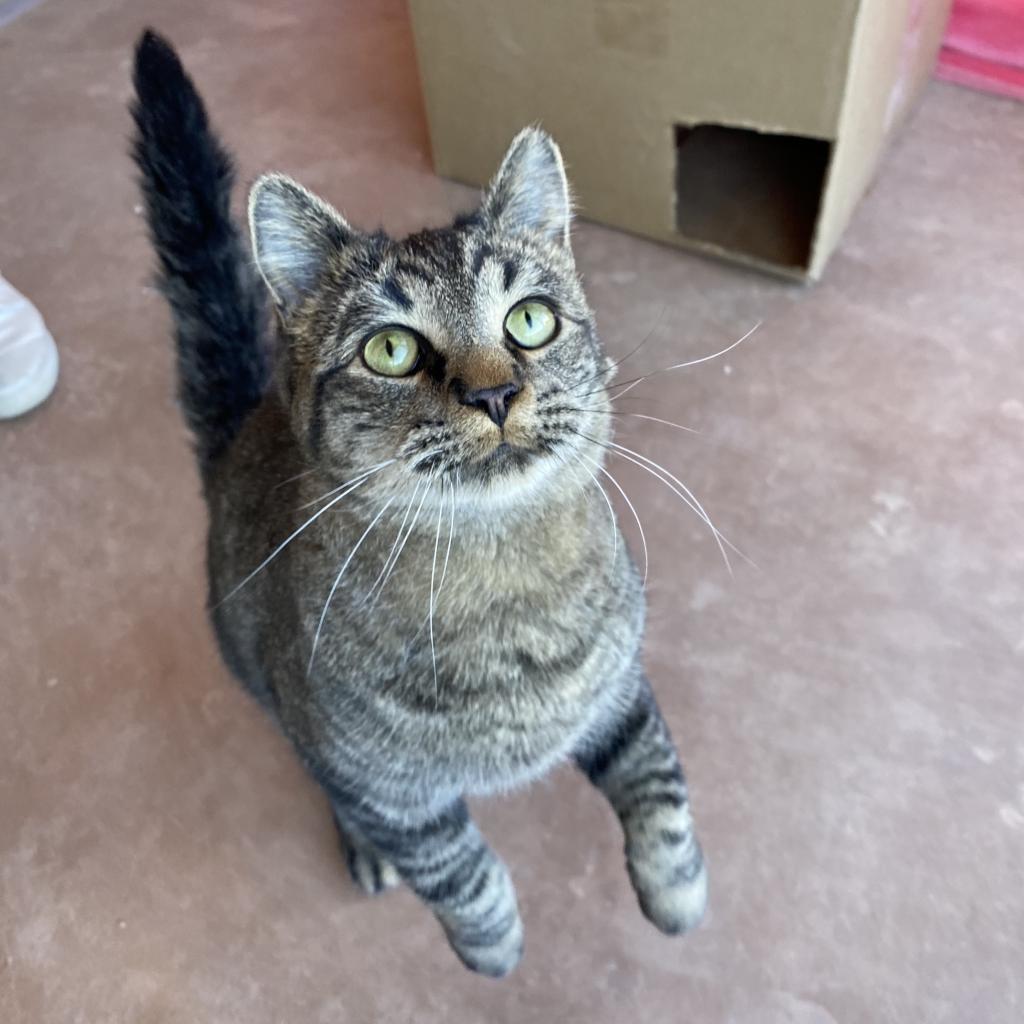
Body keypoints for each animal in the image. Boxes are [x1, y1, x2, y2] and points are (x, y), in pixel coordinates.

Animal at [130, 29, 704, 974]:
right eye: (391, 350)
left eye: (531, 321)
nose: (495, 394)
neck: (503, 582)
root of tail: (243, 422)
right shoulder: (388, 791)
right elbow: (456, 864)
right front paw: (494, 944)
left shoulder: (621, 692)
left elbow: (660, 786)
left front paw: (678, 895)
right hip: (282, 708)